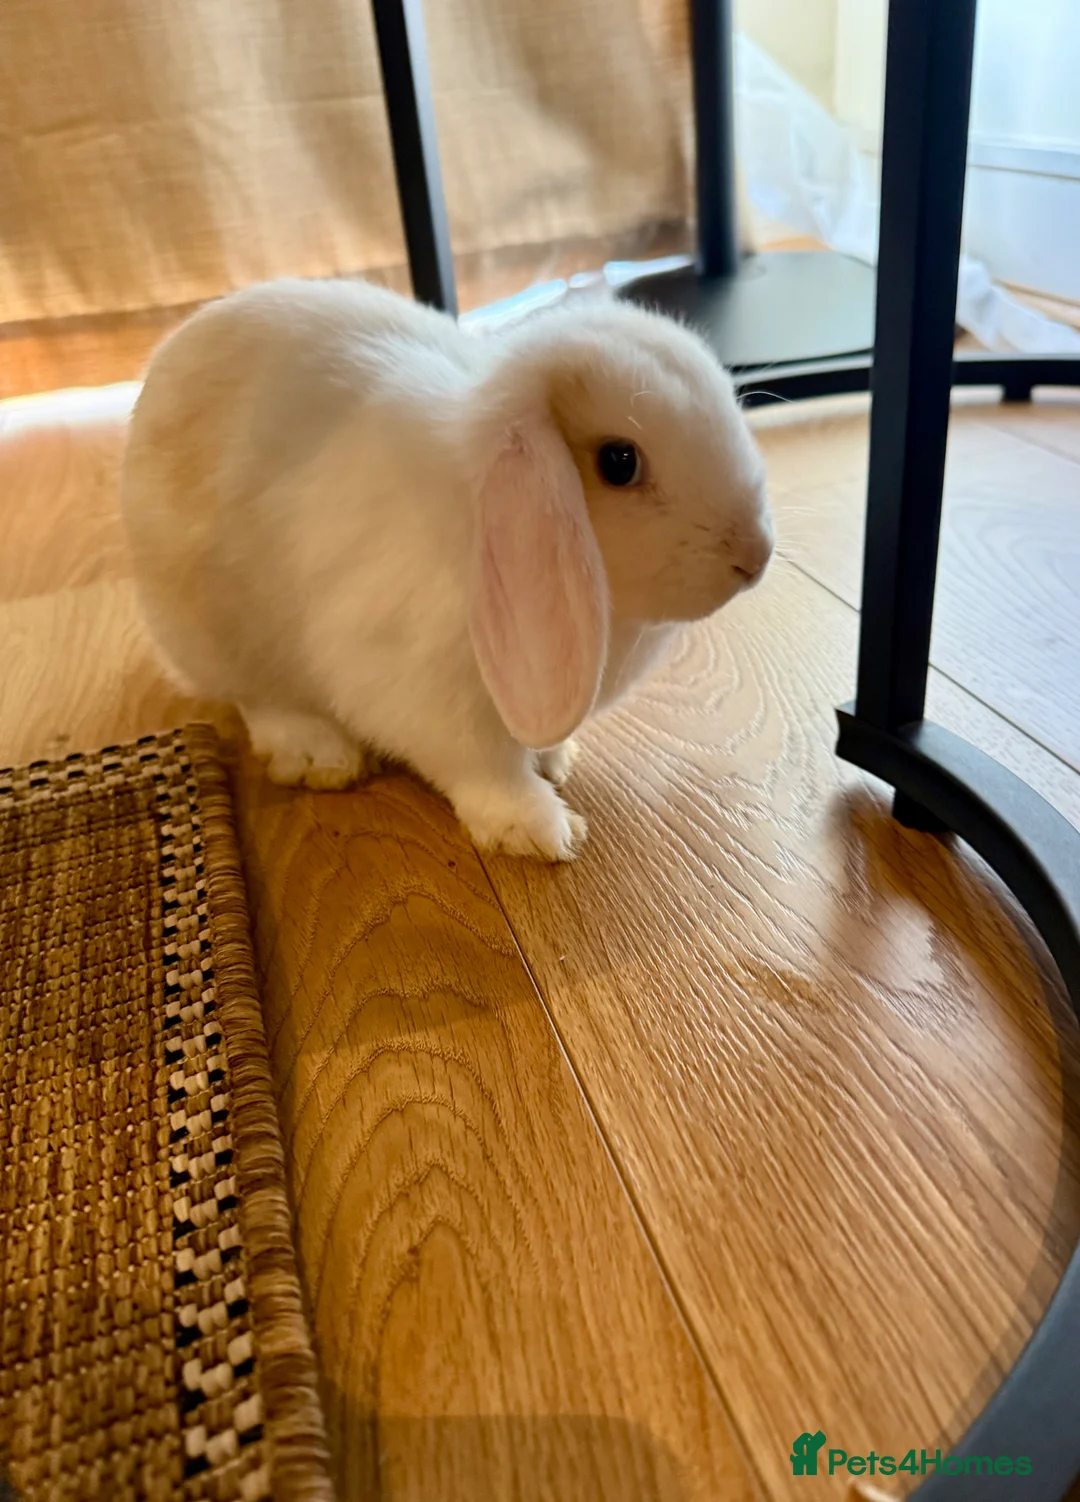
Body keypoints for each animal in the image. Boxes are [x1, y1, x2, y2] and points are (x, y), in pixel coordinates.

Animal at [121, 276, 773, 861]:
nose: (755, 556)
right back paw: (318, 757)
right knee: (258, 699)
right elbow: (481, 765)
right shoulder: (422, 689)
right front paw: (538, 831)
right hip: (213, 631)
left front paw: (556, 760)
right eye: (619, 461)